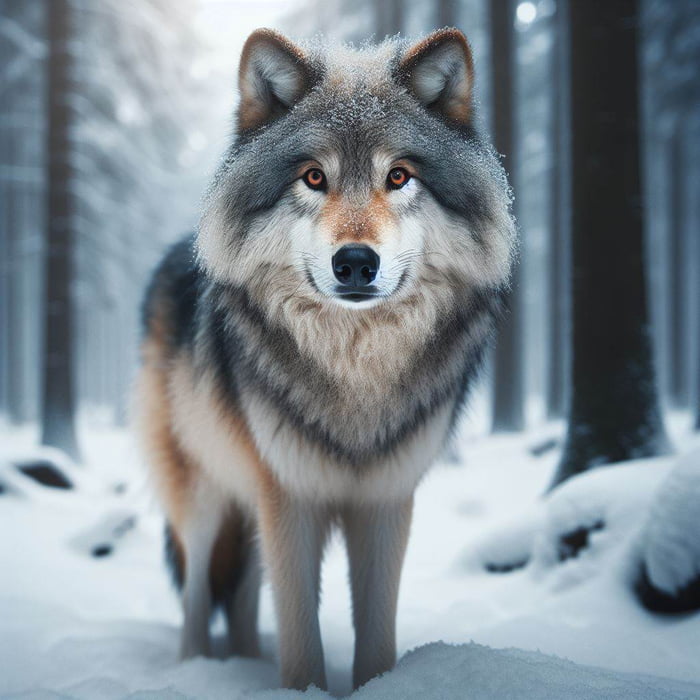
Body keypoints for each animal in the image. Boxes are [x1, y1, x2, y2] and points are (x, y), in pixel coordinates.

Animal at [135, 27, 515, 691]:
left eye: (399, 176)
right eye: (314, 177)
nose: (356, 262)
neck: (355, 373)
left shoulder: (386, 499)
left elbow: (376, 632)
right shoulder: (289, 494)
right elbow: (299, 634)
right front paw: (301, 687)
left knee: (241, 597)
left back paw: (244, 660)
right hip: (204, 491)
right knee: (197, 591)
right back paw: (198, 669)